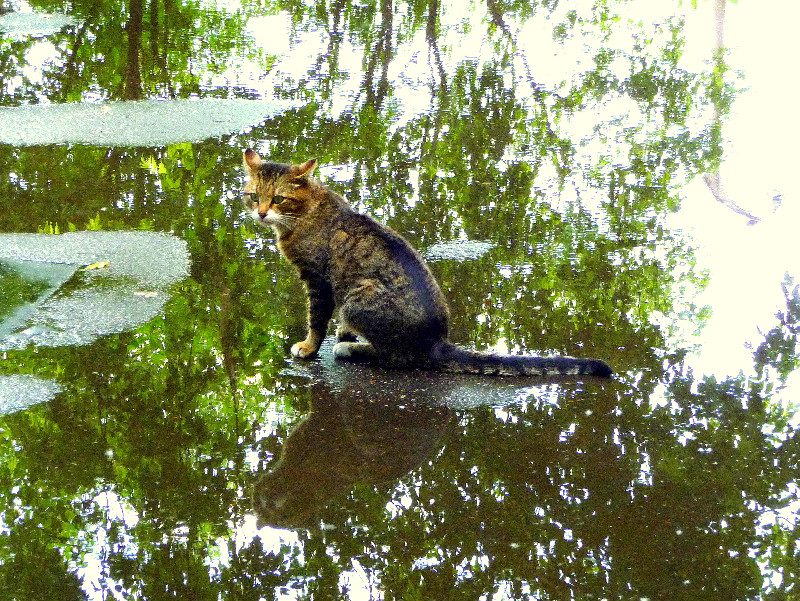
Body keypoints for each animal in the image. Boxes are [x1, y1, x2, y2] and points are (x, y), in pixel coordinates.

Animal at [241, 149, 608, 376]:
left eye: (278, 199)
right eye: (253, 196)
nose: (261, 213)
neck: (305, 212)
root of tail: (435, 342)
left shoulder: (317, 279)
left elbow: (316, 320)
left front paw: (309, 346)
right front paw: (338, 333)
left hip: (359, 297)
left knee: (395, 357)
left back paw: (349, 349)